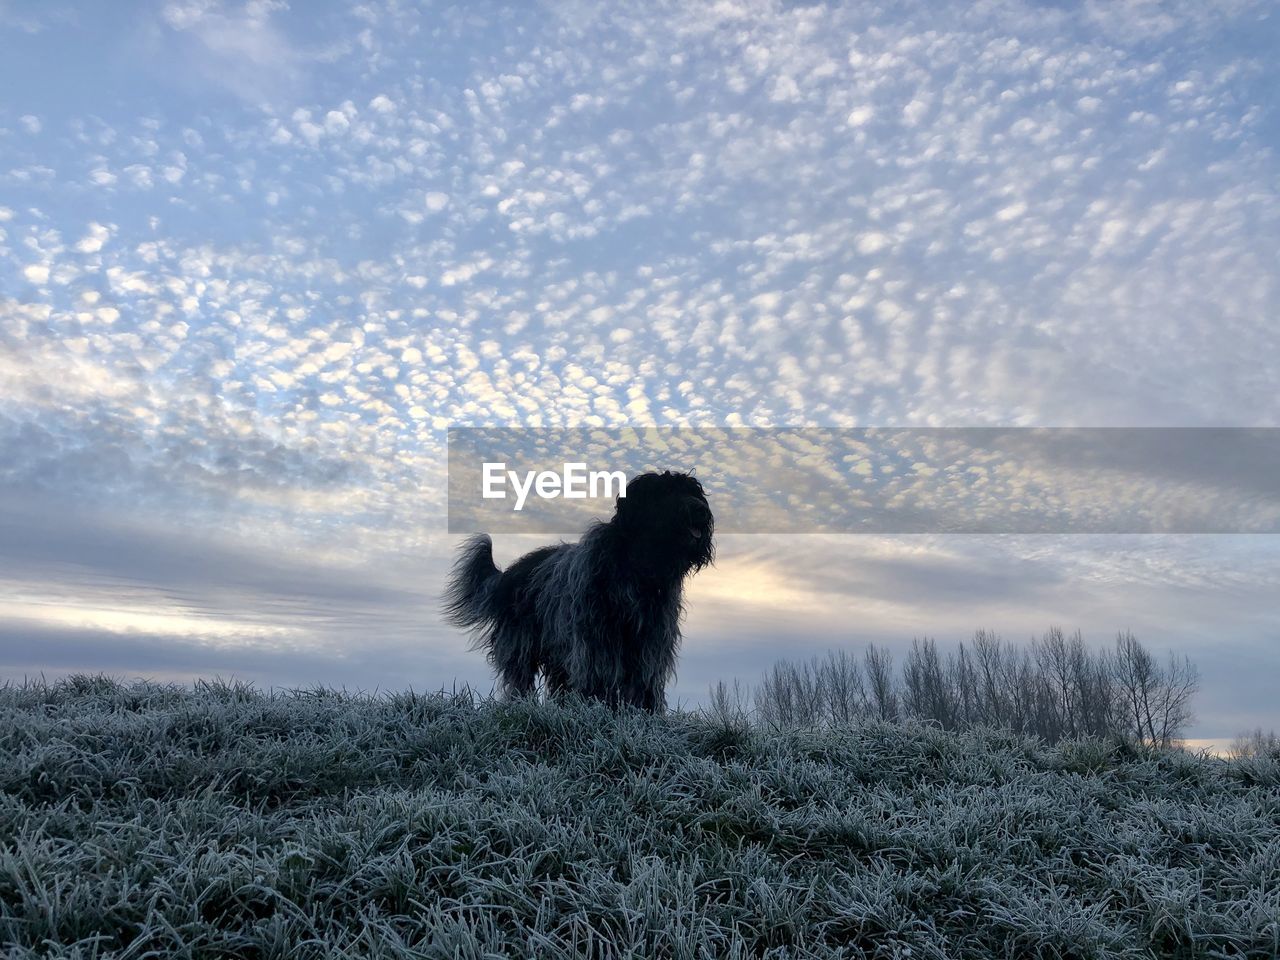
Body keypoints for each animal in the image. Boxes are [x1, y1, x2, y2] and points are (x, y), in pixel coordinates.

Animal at [445, 473, 716, 716]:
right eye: (667, 491)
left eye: (693, 492)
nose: (702, 510)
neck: (637, 565)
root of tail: (508, 574)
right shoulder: (596, 638)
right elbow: (598, 673)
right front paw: (598, 707)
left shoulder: (649, 641)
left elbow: (644, 679)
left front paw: (646, 713)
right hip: (523, 643)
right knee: (519, 679)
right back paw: (521, 706)